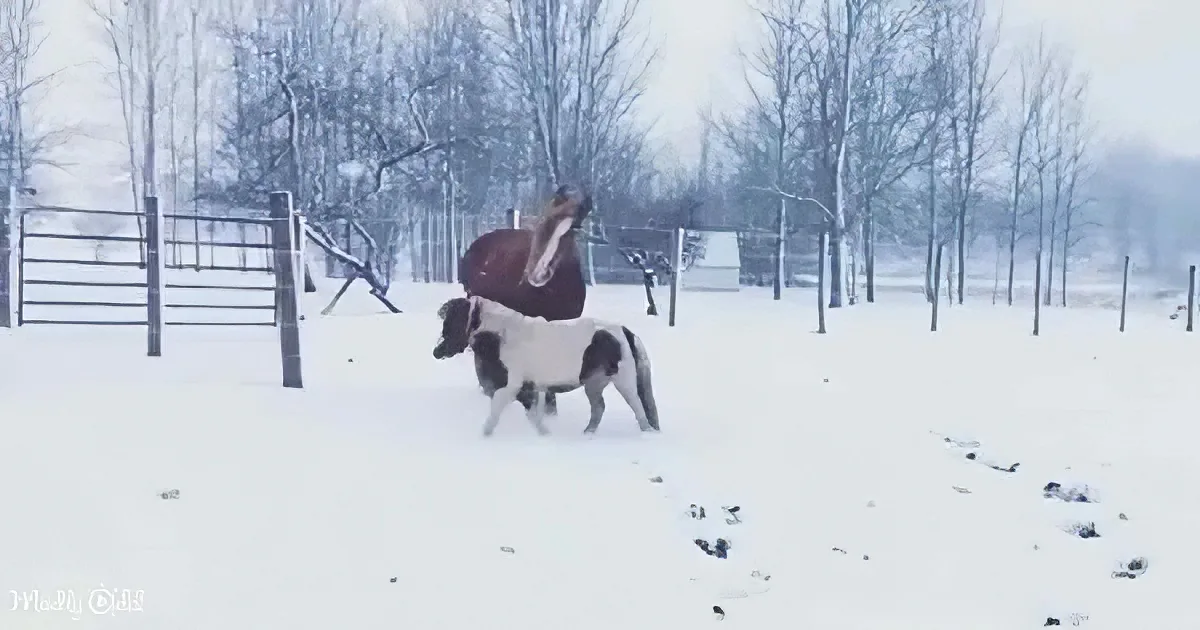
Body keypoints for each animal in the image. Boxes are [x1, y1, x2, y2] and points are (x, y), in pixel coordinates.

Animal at [432, 295, 660, 437]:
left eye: (454, 322)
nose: (437, 352)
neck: (504, 338)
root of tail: (623, 331)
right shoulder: (528, 388)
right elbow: (533, 415)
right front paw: (545, 435)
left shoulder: (512, 386)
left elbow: (497, 410)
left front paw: (484, 435)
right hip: (594, 384)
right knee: (599, 408)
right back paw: (587, 434)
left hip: (623, 381)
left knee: (637, 406)